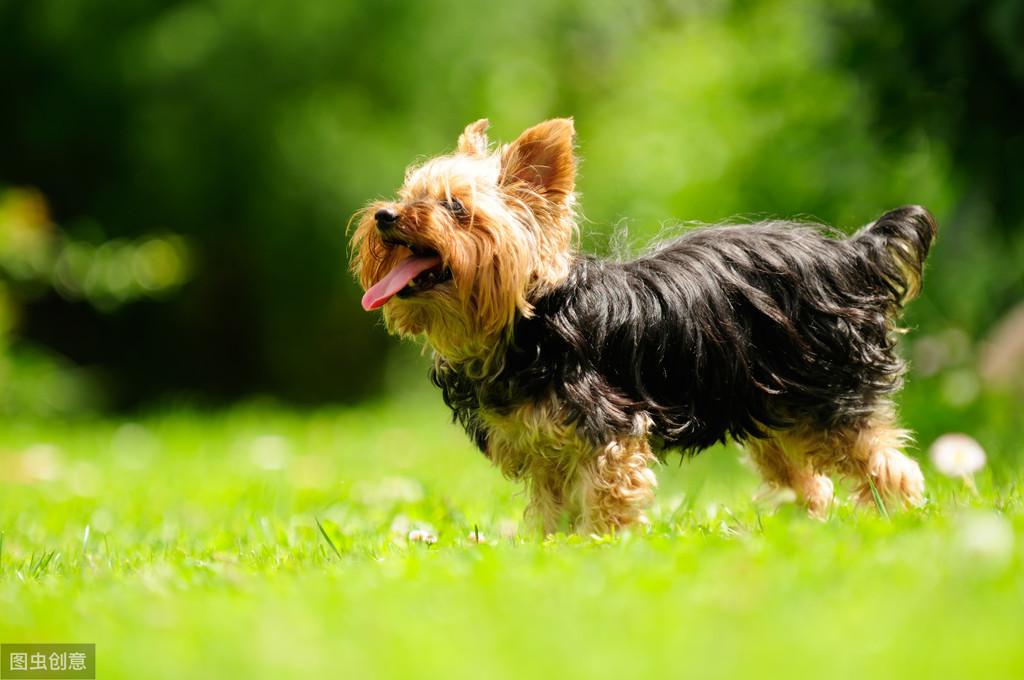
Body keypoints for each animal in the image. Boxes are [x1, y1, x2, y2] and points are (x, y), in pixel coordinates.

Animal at [352, 115, 937, 532]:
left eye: (455, 208)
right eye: (408, 197)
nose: (385, 216)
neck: (526, 323)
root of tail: (850, 254)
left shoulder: (609, 432)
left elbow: (607, 501)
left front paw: (600, 548)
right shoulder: (545, 452)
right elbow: (550, 513)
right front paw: (549, 552)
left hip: (830, 396)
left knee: (889, 466)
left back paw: (899, 523)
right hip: (771, 407)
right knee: (808, 483)